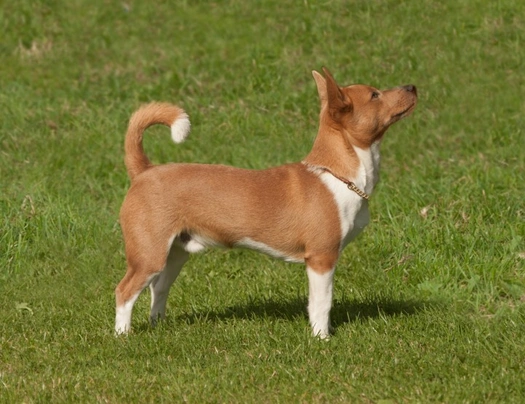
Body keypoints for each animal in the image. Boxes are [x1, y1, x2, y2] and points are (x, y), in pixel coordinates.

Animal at [114, 67, 418, 338]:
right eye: (375, 95)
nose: (412, 86)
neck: (337, 175)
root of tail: (144, 171)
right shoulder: (321, 258)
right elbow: (322, 304)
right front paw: (322, 338)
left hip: (175, 253)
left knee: (158, 289)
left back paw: (158, 326)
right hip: (149, 255)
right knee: (124, 291)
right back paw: (123, 335)